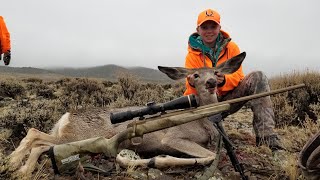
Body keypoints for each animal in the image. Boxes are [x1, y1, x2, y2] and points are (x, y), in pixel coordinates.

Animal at [8, 52, 248, 177]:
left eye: (216, 72)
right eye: (195, 75)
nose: (211, 82)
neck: (204, 120)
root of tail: (66, 116)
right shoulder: (173, 138)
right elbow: (209, 156)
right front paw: (159, 160)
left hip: (70, 137)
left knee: (36, 136)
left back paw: (15, 165)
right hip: (75, 137)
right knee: (39, 141)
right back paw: (20, 168)